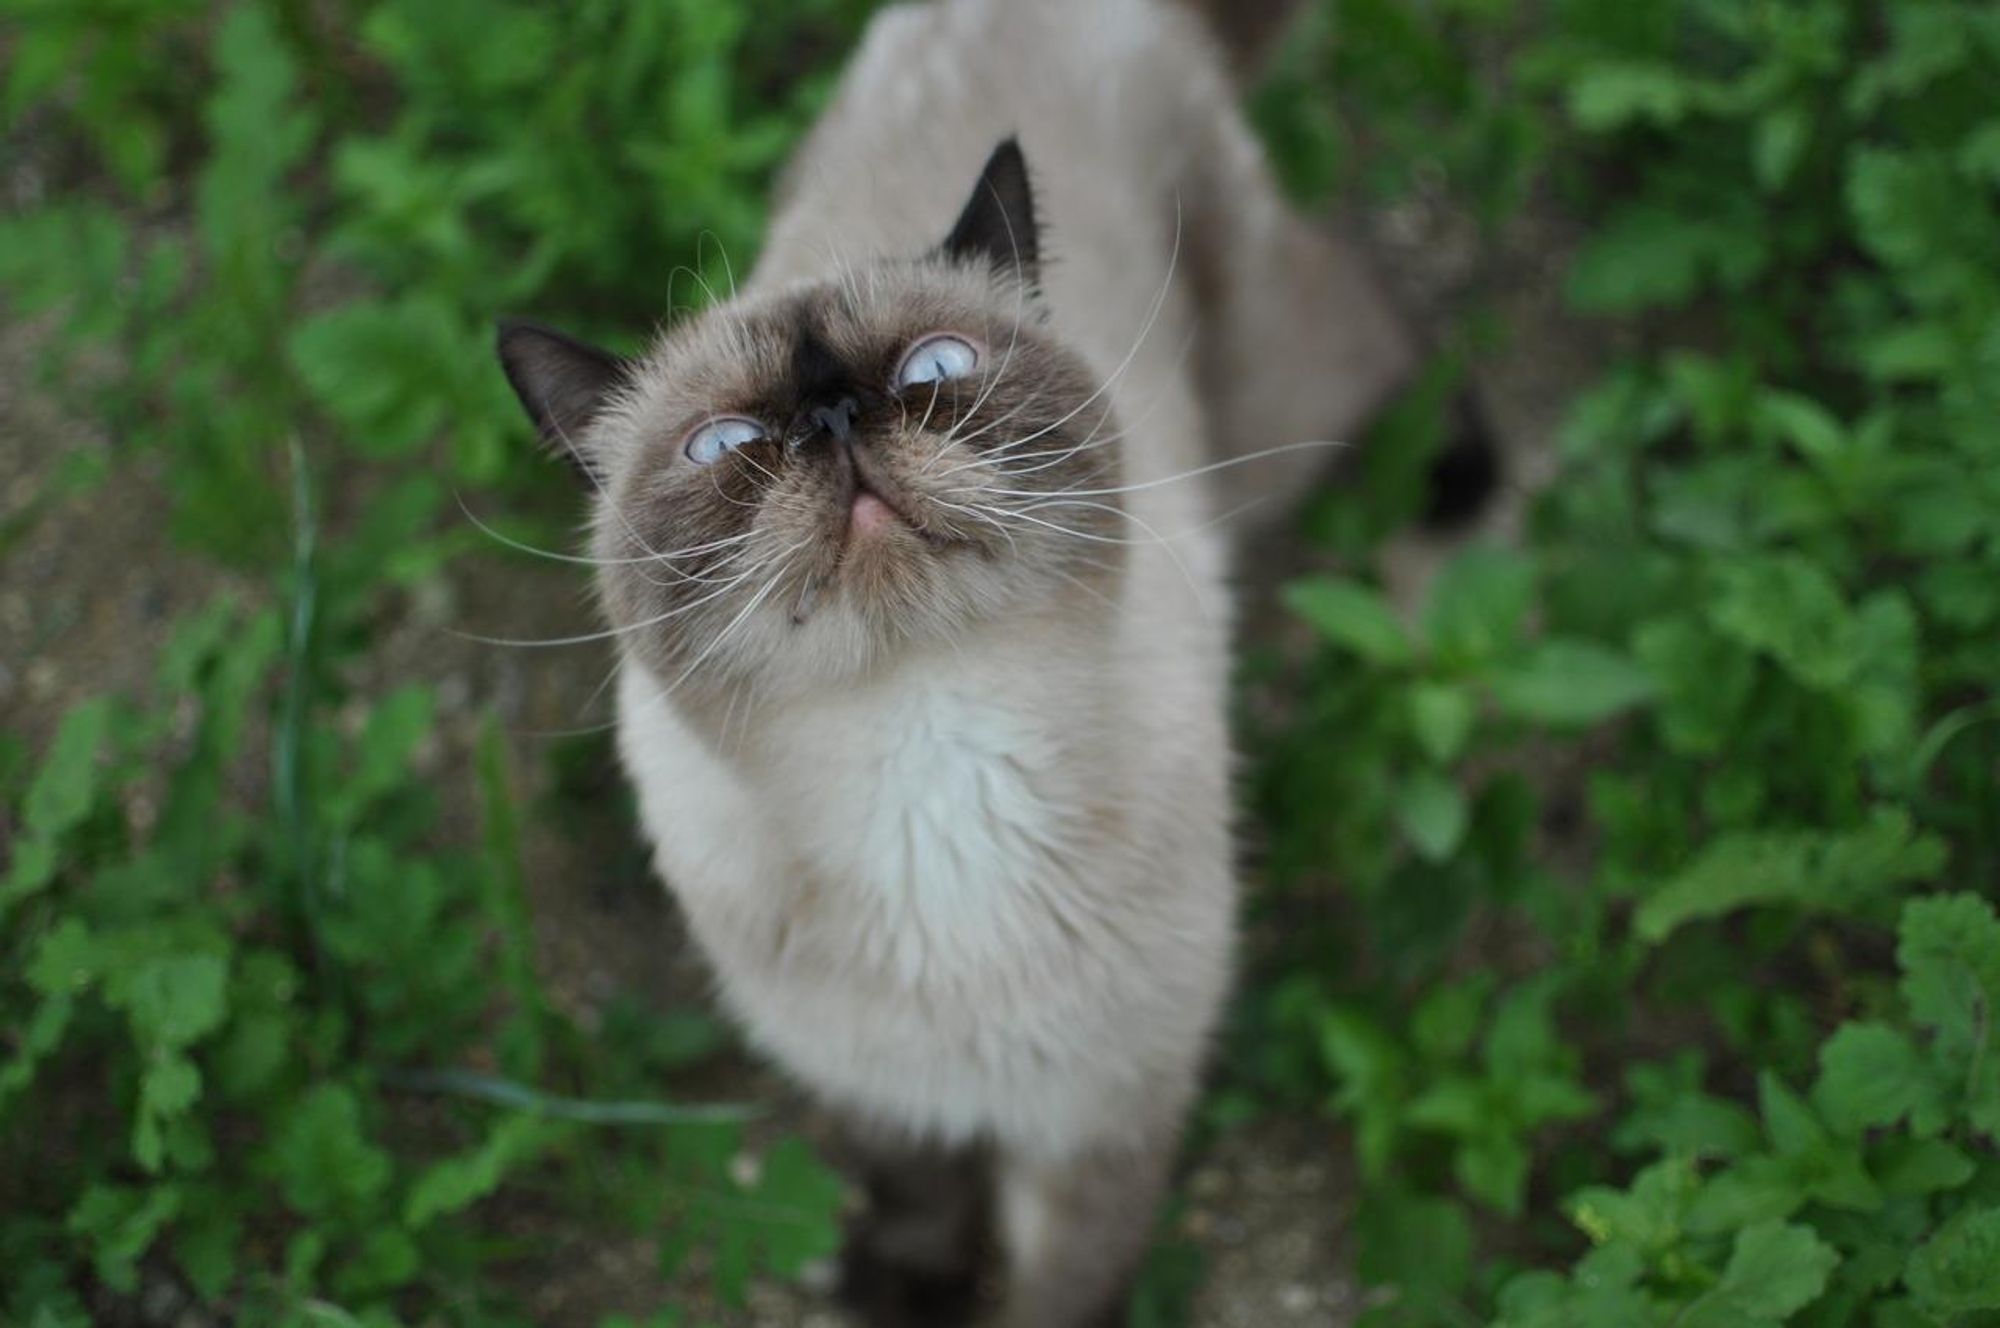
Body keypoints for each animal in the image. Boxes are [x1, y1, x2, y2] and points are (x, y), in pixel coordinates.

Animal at [500, 2, 1472, 1328]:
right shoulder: (882, 1086)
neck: (929, 748)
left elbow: (1064, 1283)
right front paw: (903, 1291)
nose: (833, 417)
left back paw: (1455, 476)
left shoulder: (1103, 1109)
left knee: (1375, 334)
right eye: (724, 442)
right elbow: (918, 1195)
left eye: (932, 372)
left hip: (1280, 417)